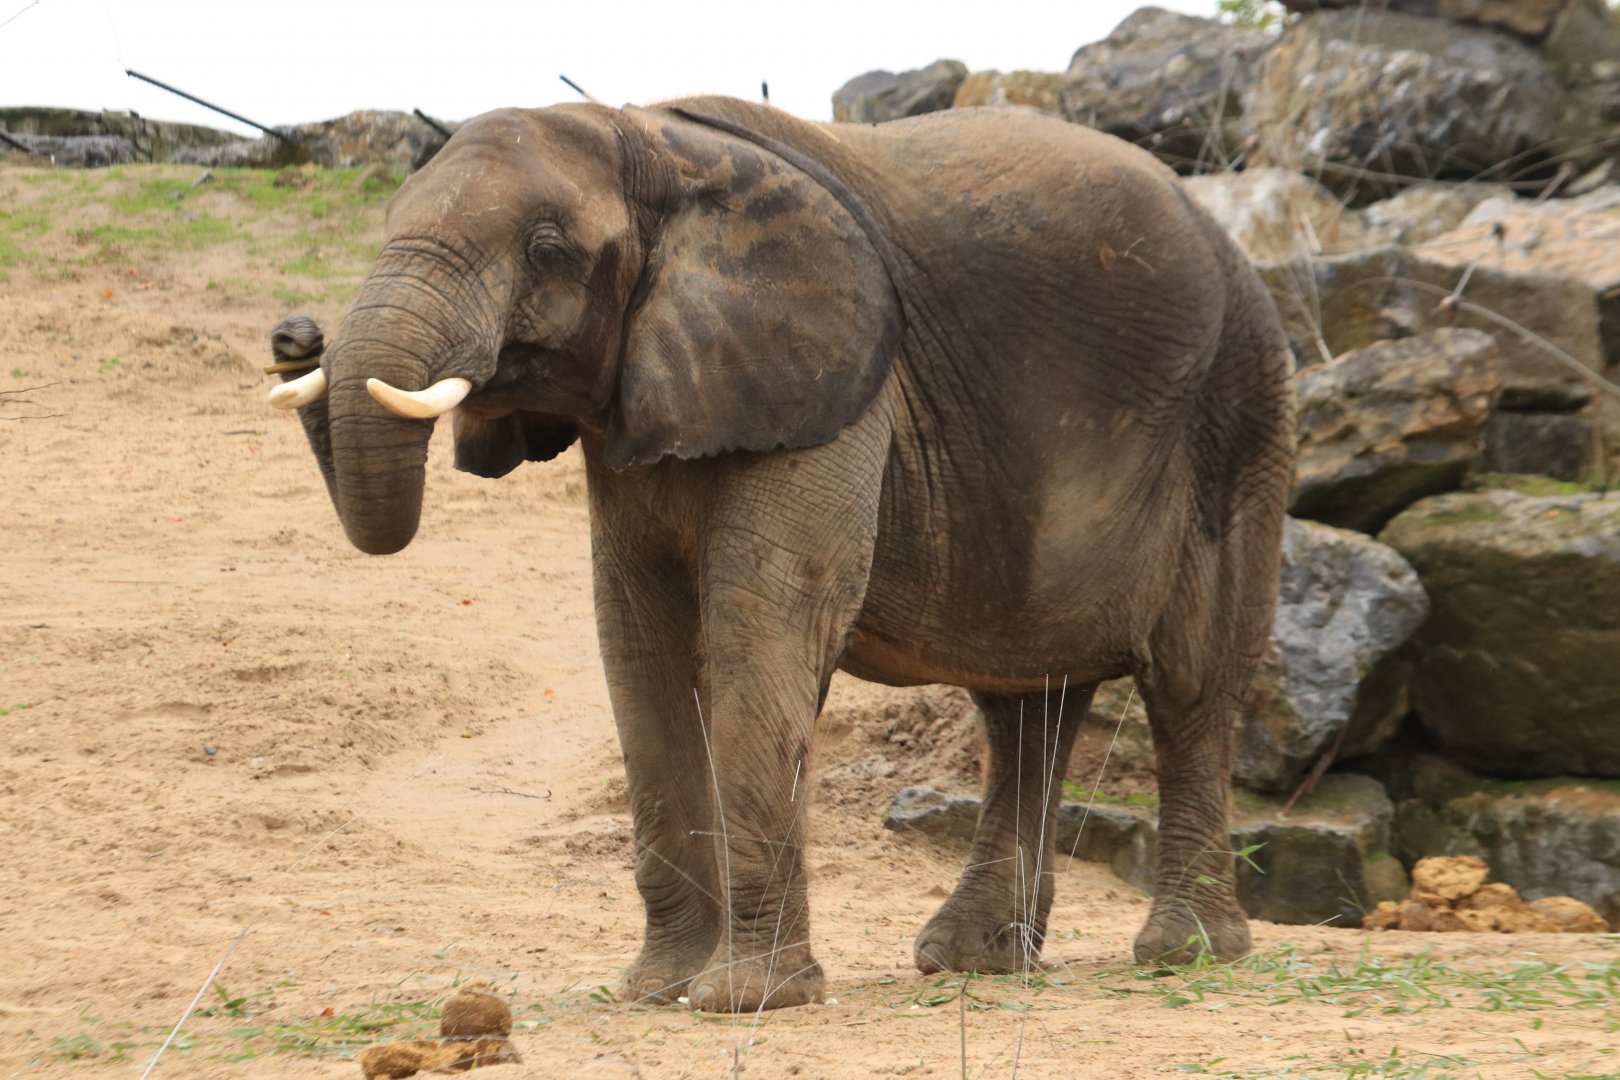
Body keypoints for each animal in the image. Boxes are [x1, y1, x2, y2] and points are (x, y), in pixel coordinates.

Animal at [265, 95, 1295, 1012]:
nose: (295, 334)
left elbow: (763, 627)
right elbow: (637, 645)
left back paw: (1184, 955)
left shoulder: (833, 382)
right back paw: (974, 962)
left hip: (1241, 414)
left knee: (1191, 684)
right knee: (1025, 705)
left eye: (546, 249)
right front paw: (657, 992)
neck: (650, 143)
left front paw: (745, 1002)